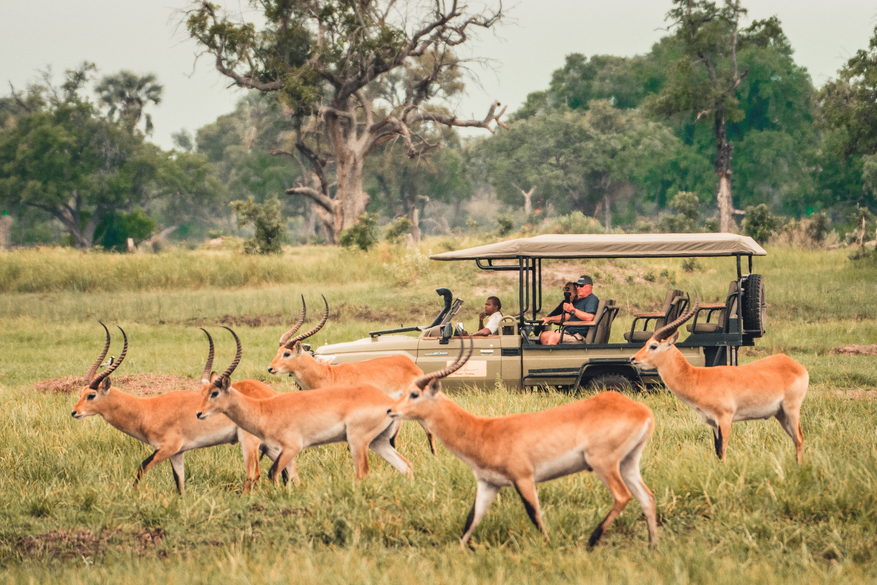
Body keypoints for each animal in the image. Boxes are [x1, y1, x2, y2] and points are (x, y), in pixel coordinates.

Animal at [74, 324, 284, 492]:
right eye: (81, 392)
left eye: (91, 395)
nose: (74, 412)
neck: (146, 410)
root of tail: (271, 393)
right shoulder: (178, 453)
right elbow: (179, 483)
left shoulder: (167, 448)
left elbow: (142, 467)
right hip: (268, 445)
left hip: (249, 441)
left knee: (255, 474)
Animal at [266, 294, 438, 454]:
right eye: (278, 351)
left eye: (287, 353)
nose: (270, 368)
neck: (328, 376)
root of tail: (411, 365)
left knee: (428, 431)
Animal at [386, 338, 652, 548]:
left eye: (414, 394)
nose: (390, 410)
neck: (483, 431)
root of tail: (642, 411)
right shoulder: (488, 484)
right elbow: (471, 521)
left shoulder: (523, 478)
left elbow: (535, 515)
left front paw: (549, 546)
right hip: (628, 463)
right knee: (647, 497)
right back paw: (652, 546)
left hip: (604, 464)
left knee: (623, 496)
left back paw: (592, 541)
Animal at [628, 294, 808, 464]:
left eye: (653, 346)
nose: (632, 358)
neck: (698, 378)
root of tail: (793, 363)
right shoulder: (713, 423)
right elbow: (717, 452)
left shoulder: (725, 418)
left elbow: (723, 449)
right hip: (780, 413)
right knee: (795, 438)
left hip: (791, 409)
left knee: (799, 438)